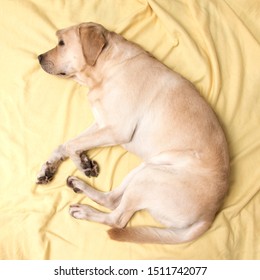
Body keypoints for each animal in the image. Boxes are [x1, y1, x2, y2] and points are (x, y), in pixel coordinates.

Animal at [37, 23, 230, 244]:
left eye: (61, 43)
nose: (39, 57)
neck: (107, 68)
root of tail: (210, 215)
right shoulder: (102, 123)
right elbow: (67, 144)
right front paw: (50, 167)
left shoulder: (117, 129)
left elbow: (71, 145)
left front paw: (81, 163)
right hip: (146, 168)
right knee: (112, 200)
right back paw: (79, 185)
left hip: (149, 179)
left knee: (117, 218)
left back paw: (85, 211)